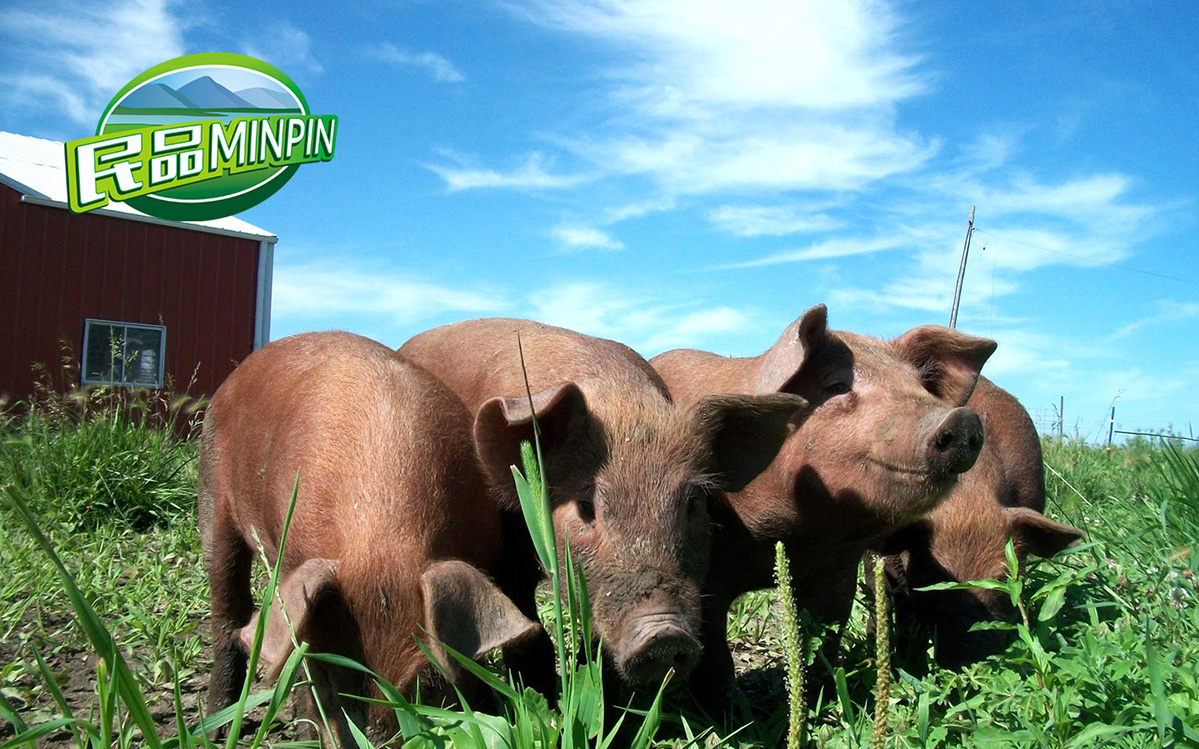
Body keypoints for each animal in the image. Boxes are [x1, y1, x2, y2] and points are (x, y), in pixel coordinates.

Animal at [197, 332, 542, 745]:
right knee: (227, 607)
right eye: (331, 678)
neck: (382, 539)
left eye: (427, 685)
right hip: (212, 496)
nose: (372, 740)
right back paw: (216, 729)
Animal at [649, 304, 996, 711]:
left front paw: (821, 701)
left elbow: (824, 639)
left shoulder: (837, 572)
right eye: (836, 386)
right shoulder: (703, 575)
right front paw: (724, 716)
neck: (791, 536)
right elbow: (715, 661)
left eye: (920, 386)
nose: (962, 418)